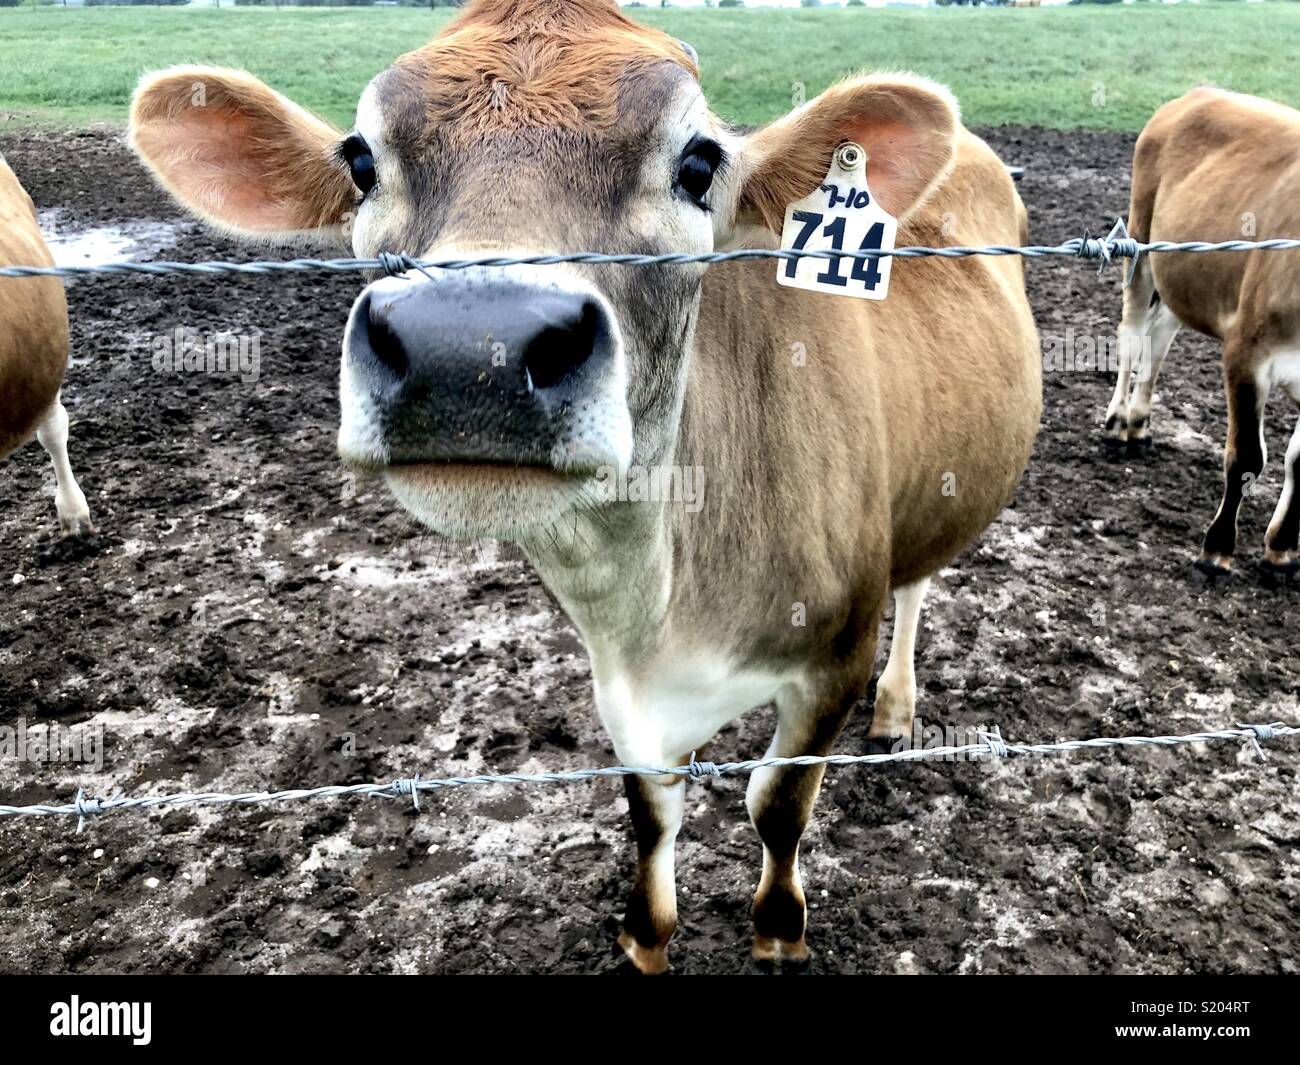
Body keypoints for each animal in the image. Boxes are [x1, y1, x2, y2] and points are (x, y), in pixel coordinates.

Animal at [128, 0, 1040, 972]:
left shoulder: (835, 653)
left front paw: (779, 929)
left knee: (917, 582)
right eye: (362, 161)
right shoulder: (618, 682)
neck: (667, 597)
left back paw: (898, 707)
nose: (468, 348)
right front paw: (645, 933)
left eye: (698, 163)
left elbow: (776, 803)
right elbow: (652, 809)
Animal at [1102, 88, 1300, 578]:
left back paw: (1139, 423)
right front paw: (1217, 547)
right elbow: (1247, 456)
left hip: (1181, 272)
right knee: (1132, 337)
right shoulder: (1246, 353)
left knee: (1159, 338)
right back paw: (1117, 420)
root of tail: (1199, 93)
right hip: (1141, 244)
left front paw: (1282, 548)